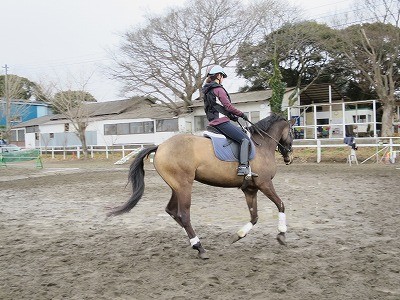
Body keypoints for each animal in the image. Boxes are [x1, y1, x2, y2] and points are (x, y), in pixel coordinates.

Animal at [106, 113, 294, 258]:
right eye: (292, 132)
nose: (289, 158)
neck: (262, 145)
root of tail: (160, 147)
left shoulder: (250, 189)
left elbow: (254, 217)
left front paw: (238, 235)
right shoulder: (265, 184)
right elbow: (281, 205)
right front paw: (282, 234)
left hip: (176, 187)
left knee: (172, 211)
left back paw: (192, 240)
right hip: (184, 186)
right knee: (184, 215)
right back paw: (199, 246)